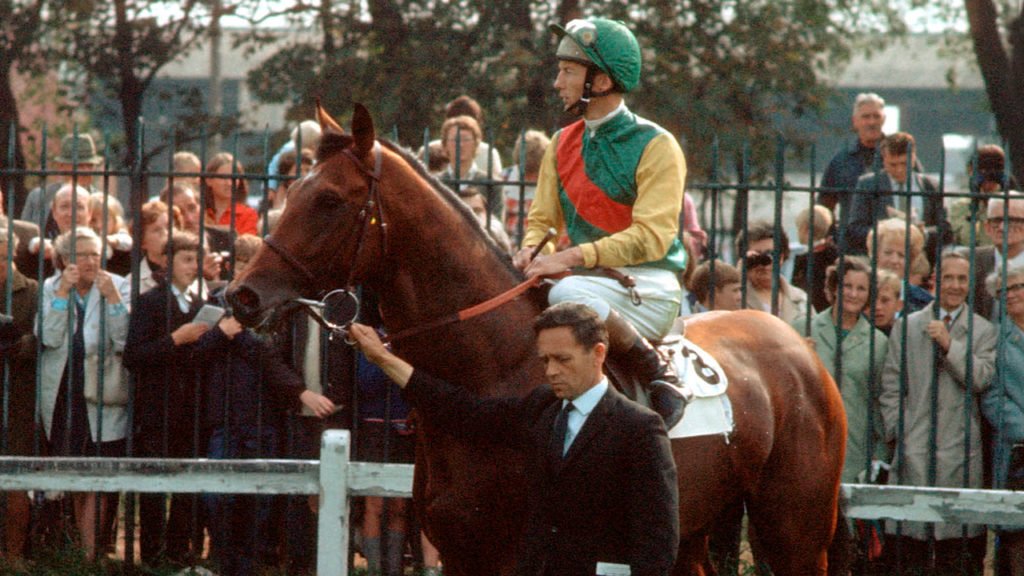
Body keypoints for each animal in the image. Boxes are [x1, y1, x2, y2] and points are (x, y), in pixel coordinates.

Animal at [228, 104, 843, 573]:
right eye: (294, 189)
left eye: (329, 200)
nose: (242, 296)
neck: (491, 365)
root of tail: (801, 350)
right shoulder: (462, 553)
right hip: (685, 529)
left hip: (795, 532)